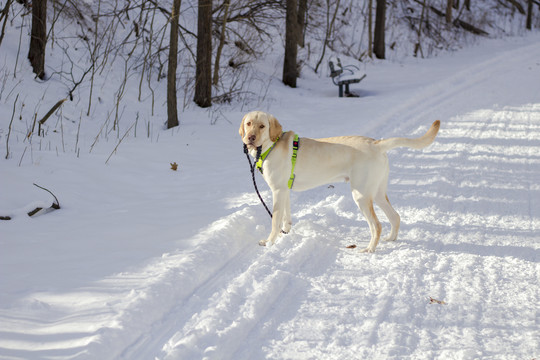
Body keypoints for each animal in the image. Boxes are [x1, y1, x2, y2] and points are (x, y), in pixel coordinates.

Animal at [239, 111, 438, 252]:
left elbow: (275, 220)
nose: (250, 137)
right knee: (395, 216)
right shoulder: (284, 190)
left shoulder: (278, 191)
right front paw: (286, 233)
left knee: (377, 225)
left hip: (361, 195)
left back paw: (369, 249)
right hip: (378, 193)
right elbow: (285, 217)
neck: (270, 146)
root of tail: (376, 144)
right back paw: (390, 239)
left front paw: (269, 243)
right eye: (248, 123)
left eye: (262, 126)